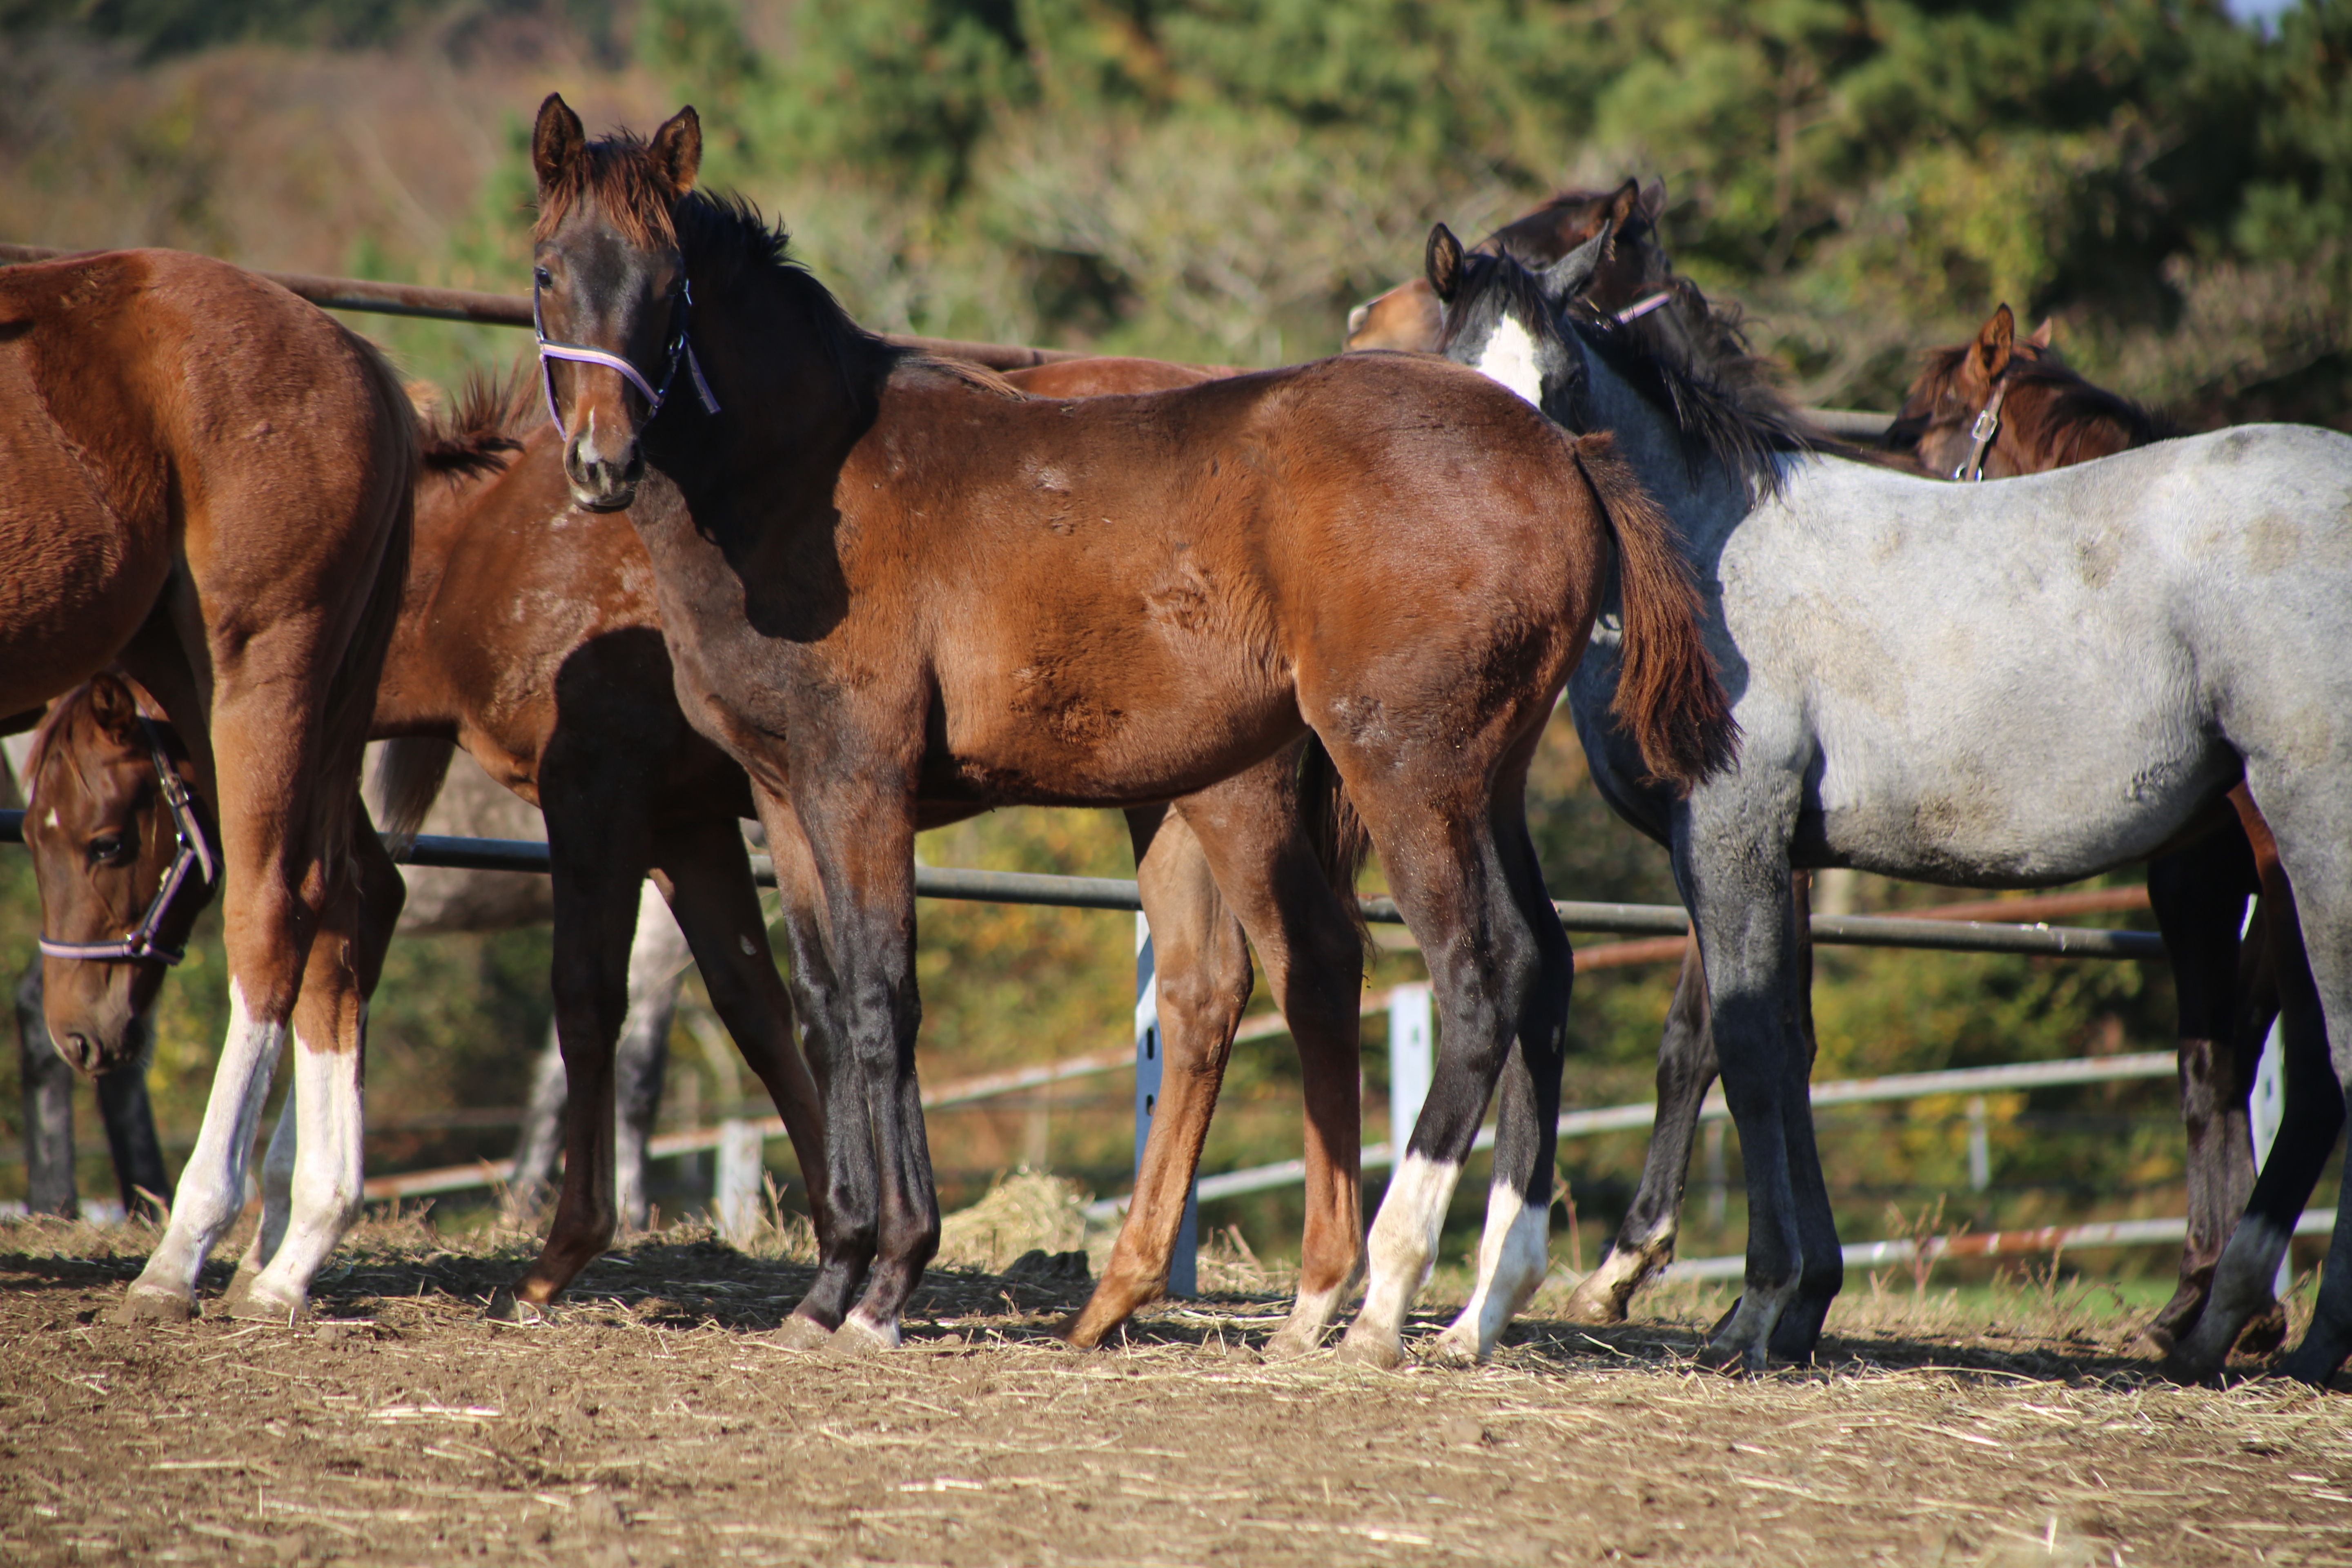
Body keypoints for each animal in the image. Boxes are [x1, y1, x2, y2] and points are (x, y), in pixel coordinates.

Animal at [2, 248, 416, 1326]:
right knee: (345, 900)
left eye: (108, 843)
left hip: (264, 660)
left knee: (273, 910)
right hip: (214, 669)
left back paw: (185, 1249)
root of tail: (356, 356)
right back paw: (292, 1248)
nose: (76, 1035)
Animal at [534, 95, 1740, 1363]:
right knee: (1536, 963)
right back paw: (1458, 1304)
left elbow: (879, 997)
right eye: (548, 271)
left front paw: (886, 1282)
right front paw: (831, 1282)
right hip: (1480, 777)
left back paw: (1377, 1302)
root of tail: (1556, 450)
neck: (802, 480)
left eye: (669, 282)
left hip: (1403, 774)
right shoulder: (783, 789)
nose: (602, 465)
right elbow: (820, 1005)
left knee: (1475, 973)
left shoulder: (860, 782)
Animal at [1421, 223, 2352, 1382]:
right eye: (1457, 377)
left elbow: (1741, 1048)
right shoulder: (1780, 855)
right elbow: (1782, 1045)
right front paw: (1792, 1302)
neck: (1709, 557)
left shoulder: (1729, 833)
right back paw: (2228, 1321)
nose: (1514, 526)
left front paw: (1758, 1307)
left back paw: (2293, 1333)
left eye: (1559, 383)